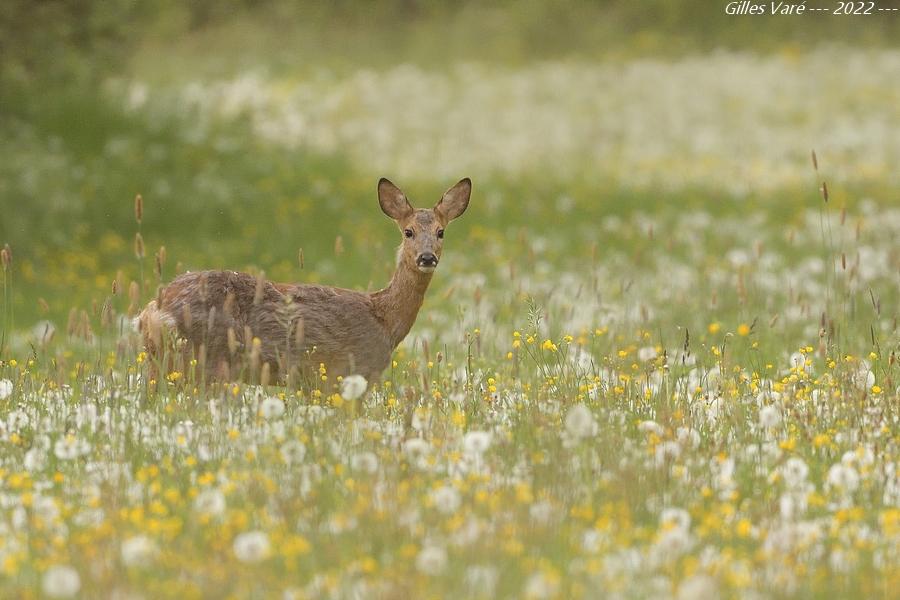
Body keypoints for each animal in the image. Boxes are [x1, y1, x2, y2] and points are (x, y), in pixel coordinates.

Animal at [139, 178, 472, 384]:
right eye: (408, 232)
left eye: (441, 231)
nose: (427, 257)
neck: (384, 318)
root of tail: (152, 311)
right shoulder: (348, 373)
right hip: (205, 361)